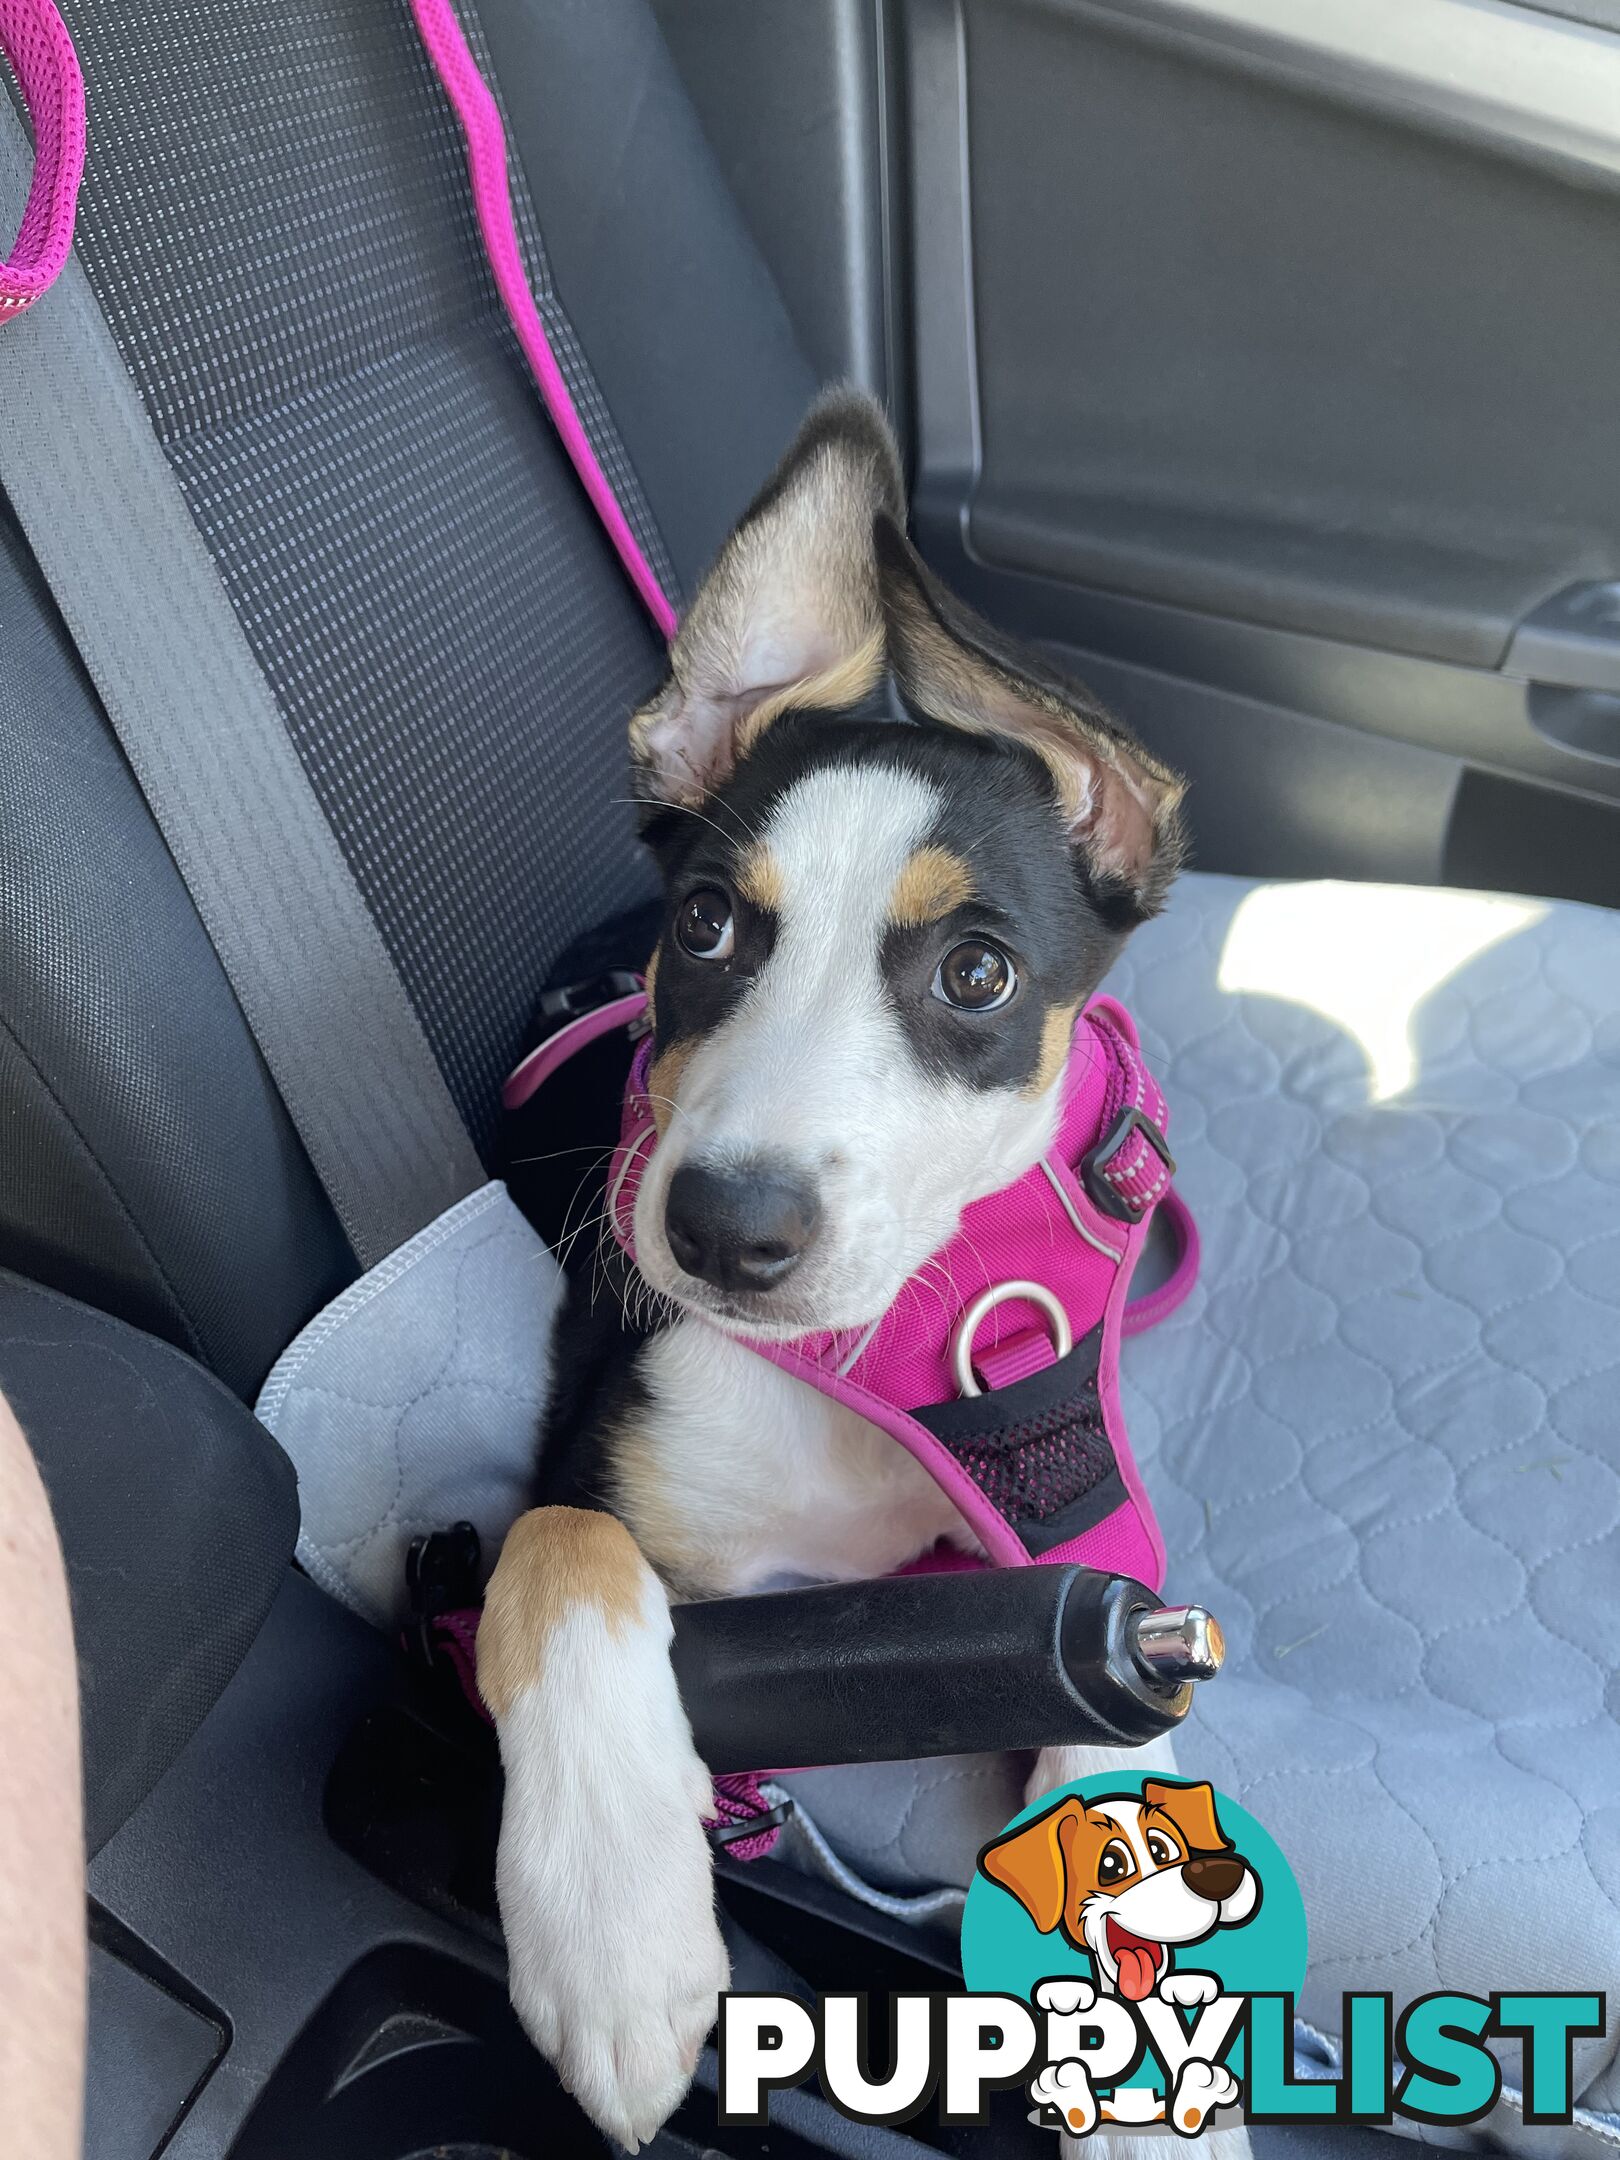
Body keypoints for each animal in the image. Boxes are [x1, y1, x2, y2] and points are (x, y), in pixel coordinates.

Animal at [475, 397, 1235, 2151]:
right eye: (706, 925)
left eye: (978, 973)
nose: (721, 1231)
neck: (859, 1360)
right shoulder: (596, 1447)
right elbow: (555, 1547)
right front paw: (616, 1936)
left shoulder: (1074, 1543)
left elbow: (1119, 1736)